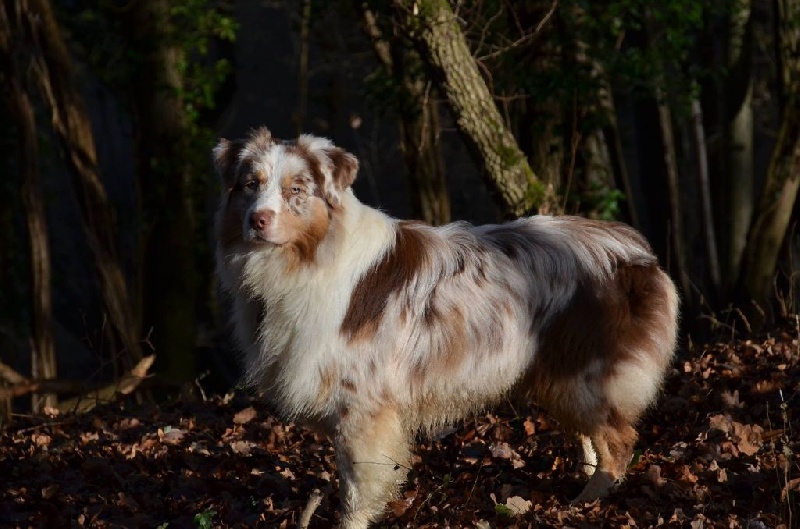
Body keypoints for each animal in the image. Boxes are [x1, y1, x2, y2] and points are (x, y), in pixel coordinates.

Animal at [211, 126, 676, 524]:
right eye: (250, 185)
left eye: (296, 189)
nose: (257, 220)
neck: (306, 258)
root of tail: (637, 251)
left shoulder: (363, 407)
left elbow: (357, 489)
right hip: (557, 374)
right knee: (592, 435)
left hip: (588, 373)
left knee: (619, 440)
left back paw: (586, 504)